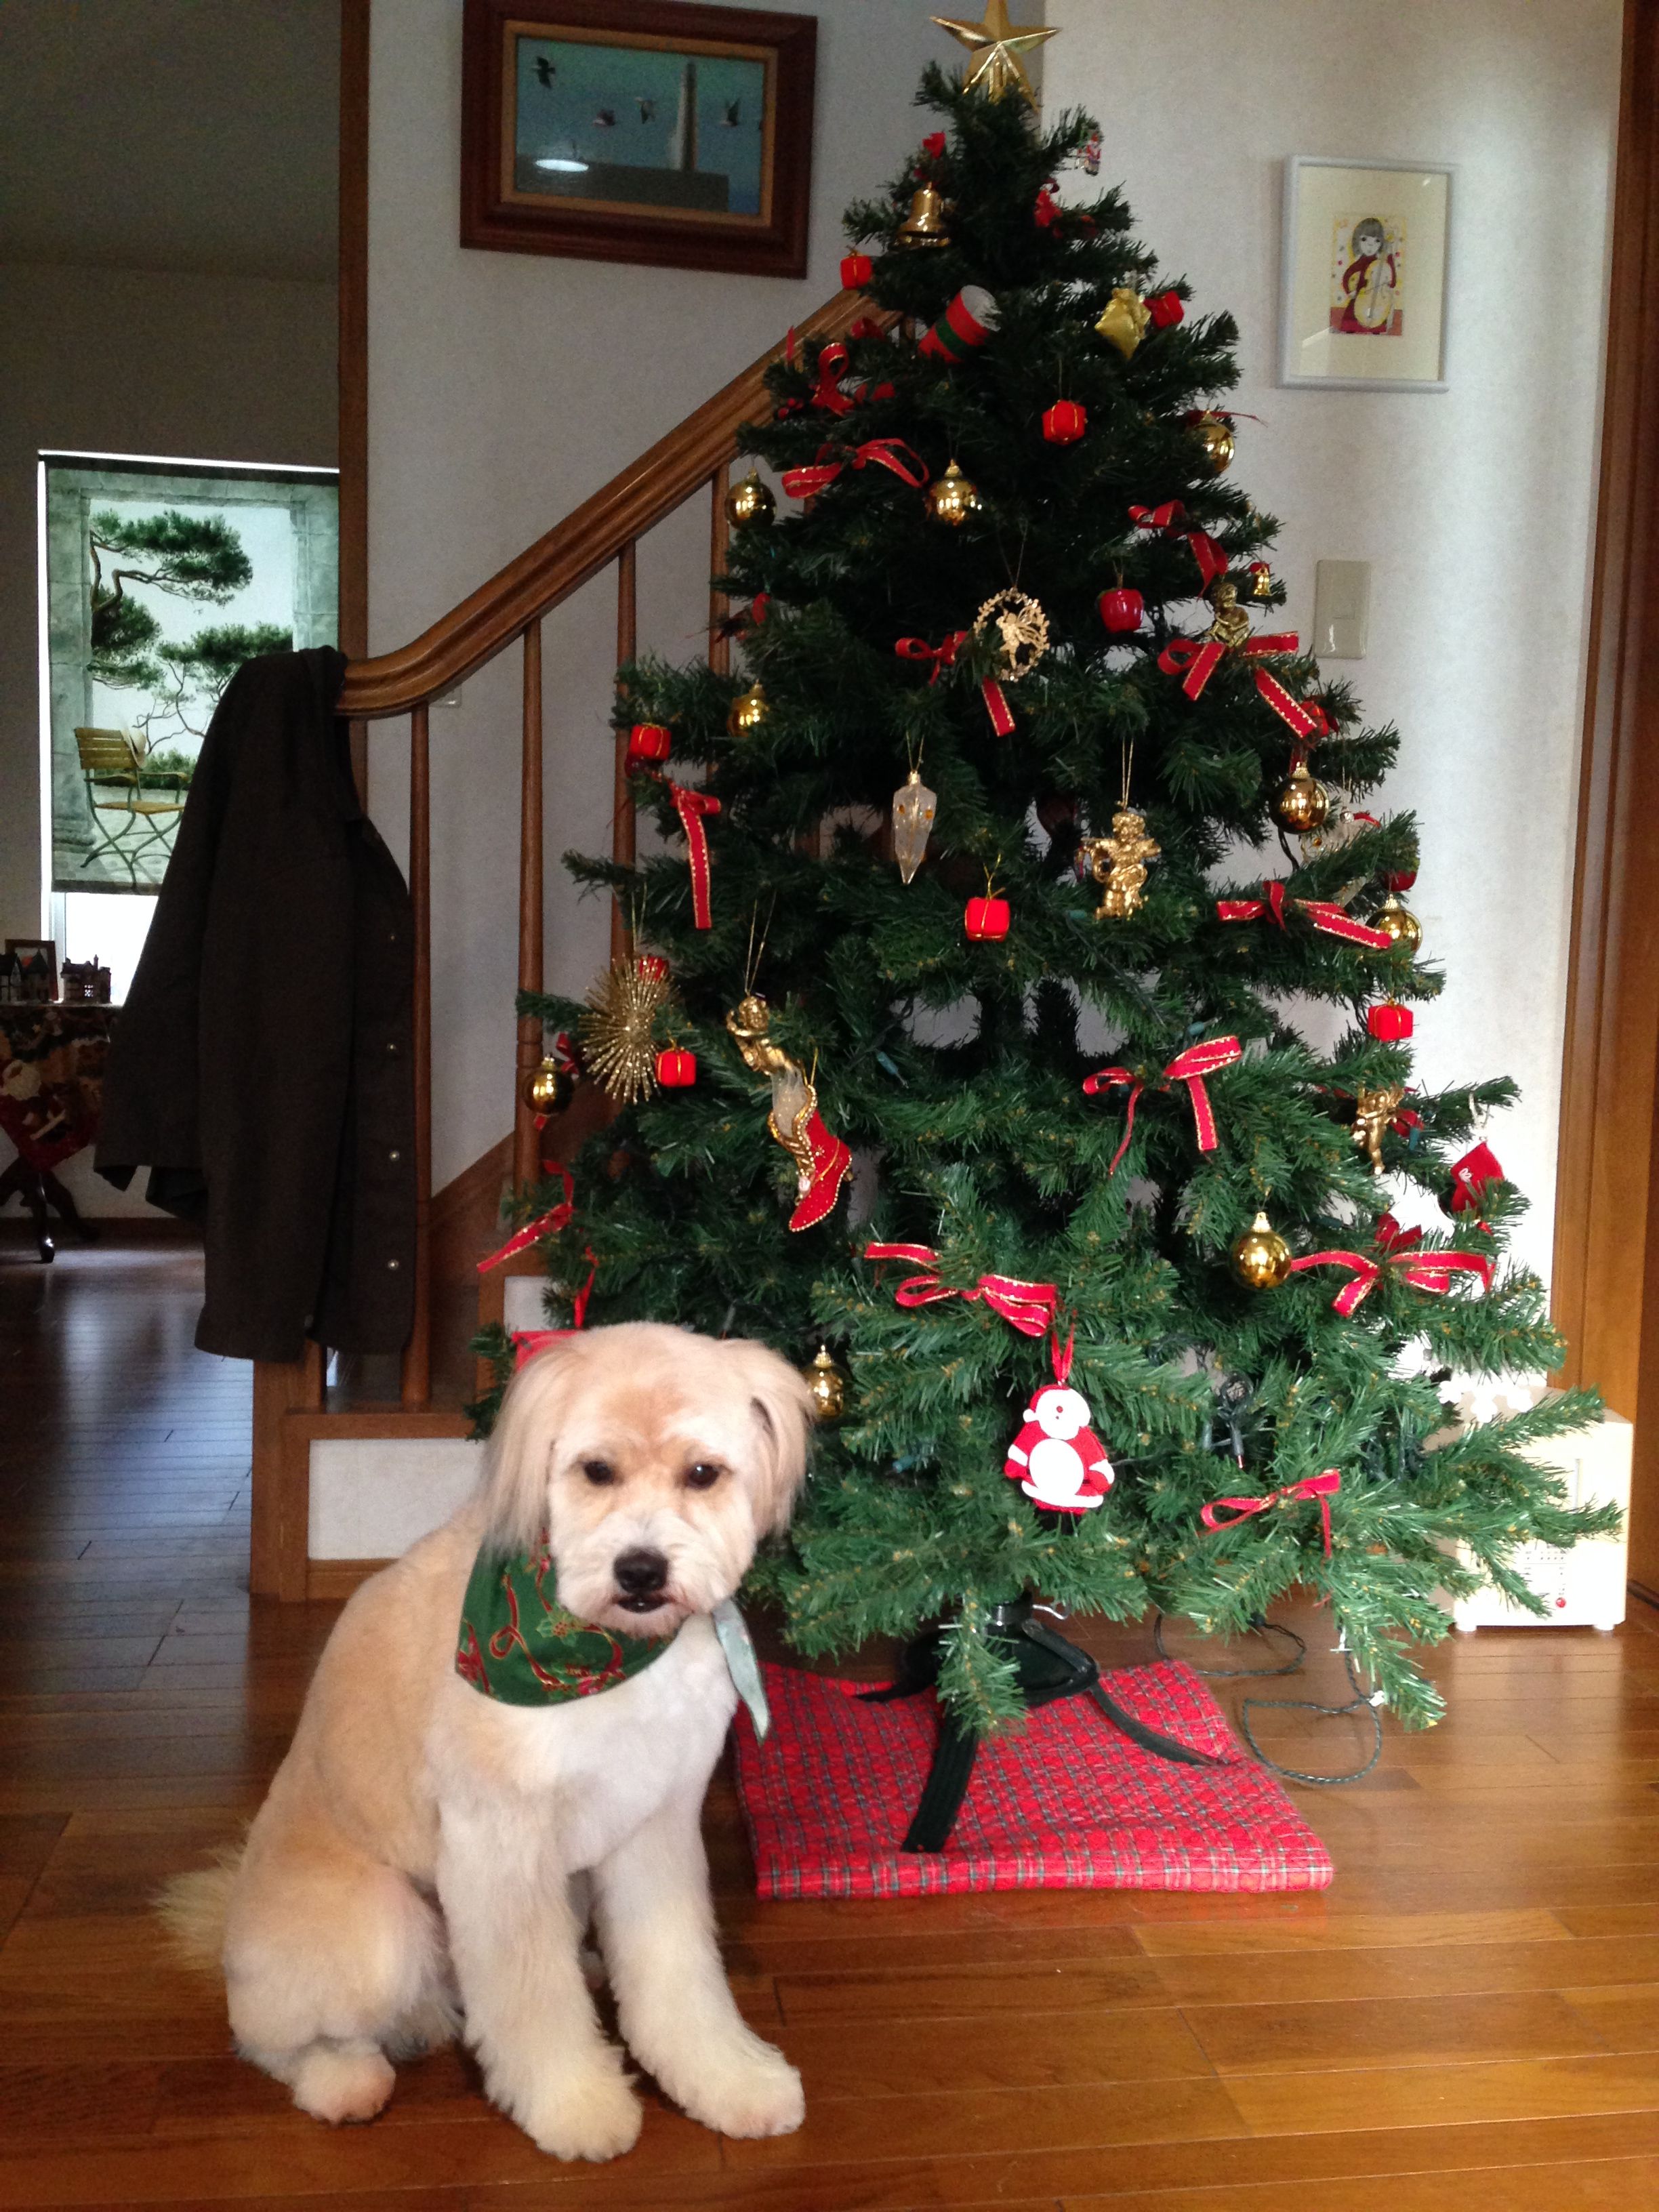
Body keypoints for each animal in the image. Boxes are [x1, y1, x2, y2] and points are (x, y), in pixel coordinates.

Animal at [165, 1318, 814, 2150]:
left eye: (703, 1473)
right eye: (596, 1470)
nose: (640, 1571)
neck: (608, 1653)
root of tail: (231, 1927)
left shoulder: (656, 1825)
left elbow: (678, 1974)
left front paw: (726, 2080)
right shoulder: (500, 1845)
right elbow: (532, 2000)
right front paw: (576, 2105)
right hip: (383, 1930)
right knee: (274, 2037)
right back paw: (342, 2079)